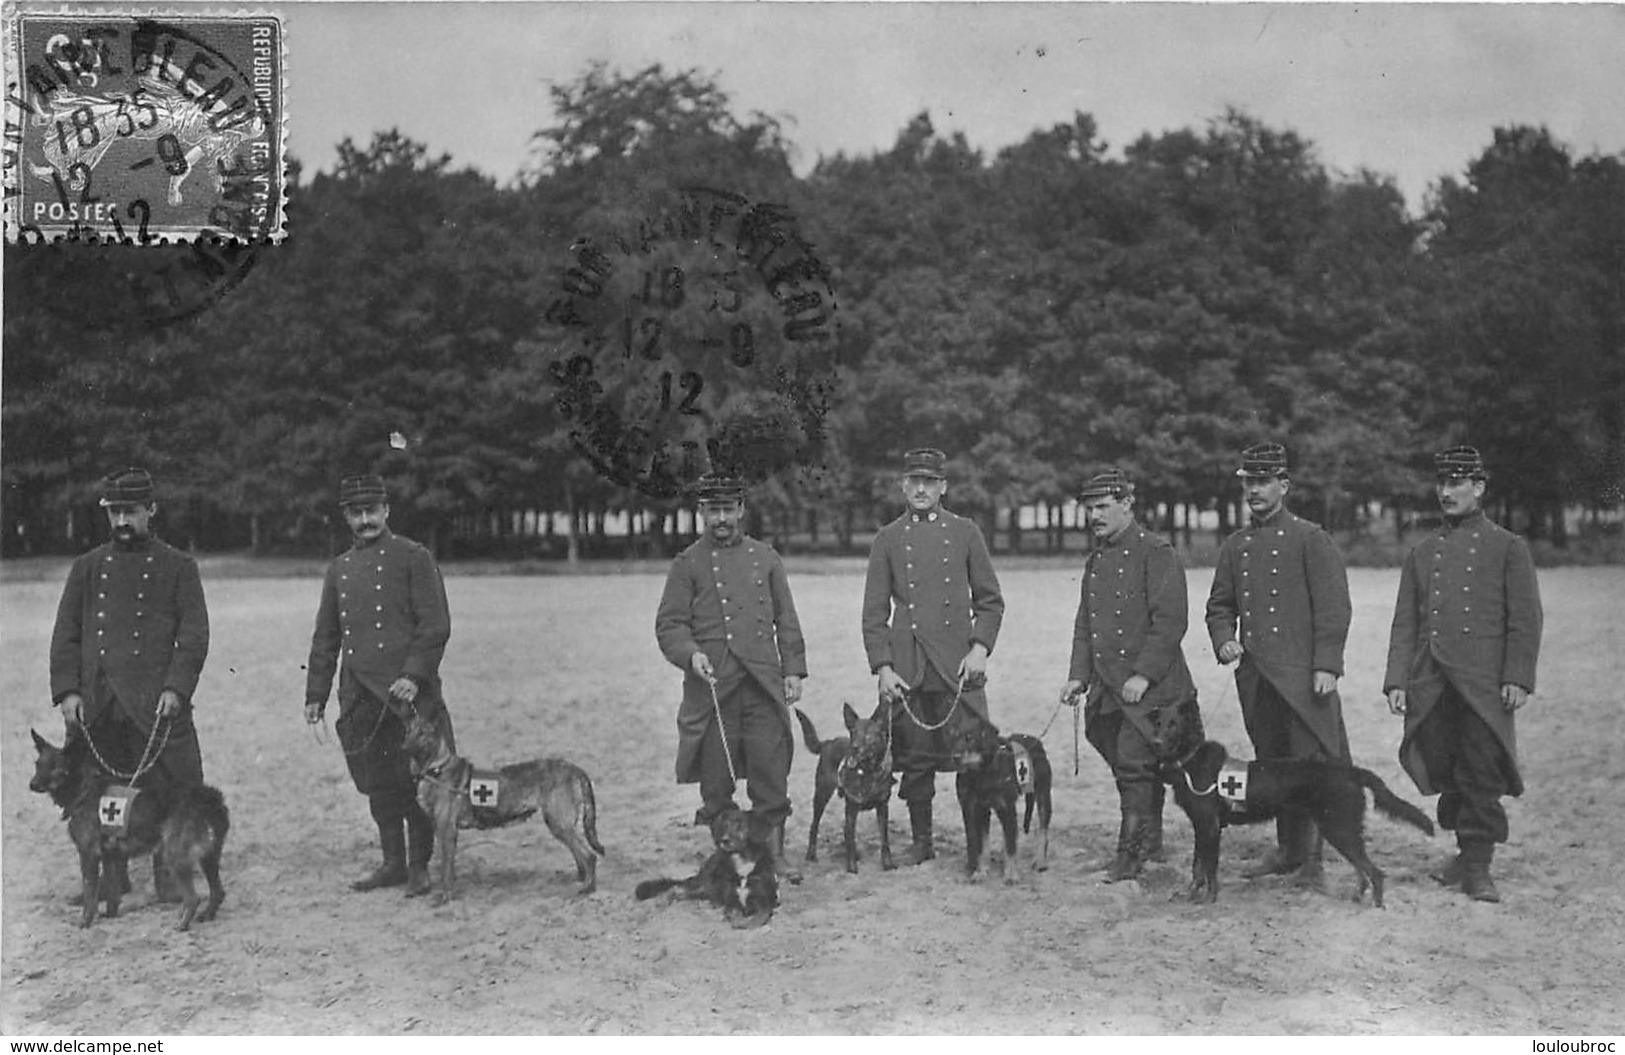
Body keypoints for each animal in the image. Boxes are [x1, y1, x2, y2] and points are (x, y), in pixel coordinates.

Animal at [30, 725, 232, 929]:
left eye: (55, 767)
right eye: (38, 764)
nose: (32, 785)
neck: (83, 790)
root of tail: (206, 797)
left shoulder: (88, 855)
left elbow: (90, 895)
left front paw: (85, 921)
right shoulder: (110, 856)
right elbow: (113, 892)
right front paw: (110, 915)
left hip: (176, 856)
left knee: (193, 898)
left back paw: (182, 924)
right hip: (209, 856)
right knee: (218, 891)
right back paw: (207, 914)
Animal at [403, 712, 607, 903]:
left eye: (422, 733)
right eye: (408, 732)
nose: (404, 748)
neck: (436, 768)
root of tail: (575, 769)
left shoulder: (446, 831)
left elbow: (446, 869)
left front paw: (446, 897)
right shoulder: (445, 832)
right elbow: (448, 866)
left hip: (559, 824)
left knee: (589, 856)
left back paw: (587, 888)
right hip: (562, 825)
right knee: (580, 855)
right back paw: (581, 880)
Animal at [793, 698, 897, 871]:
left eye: (868, 735)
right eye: (853, 732)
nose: (854, 746)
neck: (867, 772)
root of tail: (828, 742)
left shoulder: (882, 808)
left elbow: (885, 839)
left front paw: (888, 864)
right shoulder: (852, 809)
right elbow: (851, 839)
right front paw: (852, 867)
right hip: (821, 795)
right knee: (815, 826)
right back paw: (811, 854)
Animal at [942, 708, 1053, 877]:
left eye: (969, 738)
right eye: (953, 737)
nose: (955, 757)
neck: (981, 774)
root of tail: (1037, 743)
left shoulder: (1006, 807)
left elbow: (1011, 845)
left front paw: (1011, 876)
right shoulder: (978, 808)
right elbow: (982, 844)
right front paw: (981, 872)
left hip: (1043, 795)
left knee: (1042, 830)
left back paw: (1040, 861)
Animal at [1144, 698, 1436, 903]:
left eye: (1174, 724)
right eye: (1158, 724)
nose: (1155, 742)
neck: (1190, 758)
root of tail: (1350, 771)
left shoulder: (1210, 826)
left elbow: (1210, 868)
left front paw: (1209, 899)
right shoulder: (1201, 827)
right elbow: (1197, 867)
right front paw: (1190, 895)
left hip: (1339, 828)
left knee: (1374, 872)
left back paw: (1375, 906)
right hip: (1339, 828)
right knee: (1364, 871)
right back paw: (1355, 898)